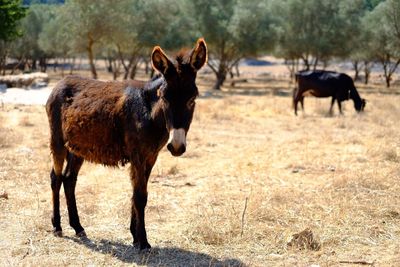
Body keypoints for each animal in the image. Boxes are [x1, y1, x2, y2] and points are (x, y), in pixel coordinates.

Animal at [45, 38, 208, 250]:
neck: (149, 112)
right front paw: (143, 241)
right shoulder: (138, 155)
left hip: (77, 148)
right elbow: (140, 196)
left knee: (69, 179)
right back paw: (57, 226)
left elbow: (137, 193)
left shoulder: (151, 156)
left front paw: (135, 236)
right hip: (57, 141)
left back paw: (78, 227)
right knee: (56, 178)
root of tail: (60, 83)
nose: (177, 147)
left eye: (193, 98)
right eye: (164, 97)